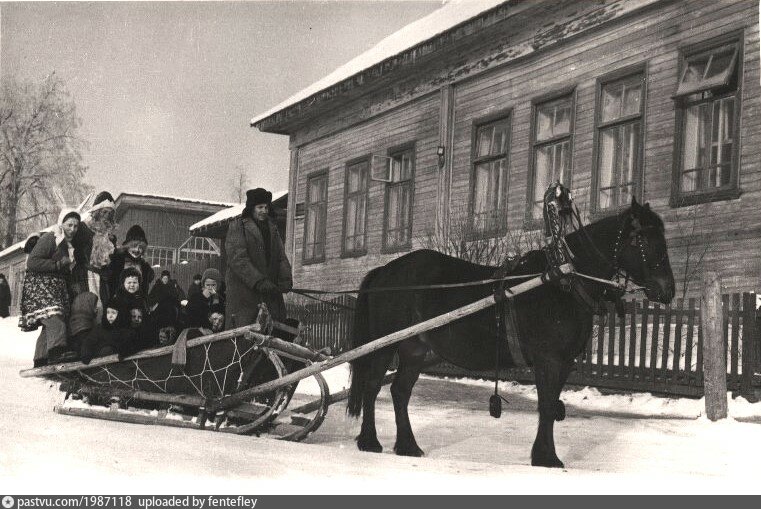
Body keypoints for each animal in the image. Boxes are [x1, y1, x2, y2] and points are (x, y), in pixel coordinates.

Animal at [346, 198, 675, 467]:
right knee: (372, 386)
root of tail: (385, 271)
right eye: (641, 237)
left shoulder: (564, 362)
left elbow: (551, 403)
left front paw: (544, 455)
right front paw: (547, 458)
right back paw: (370, 441)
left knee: (400, 391)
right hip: (384, 344)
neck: (562, 281)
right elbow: (546, 405)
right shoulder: (548, 359)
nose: (667, 290)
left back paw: (408, 446)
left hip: (415, 349)